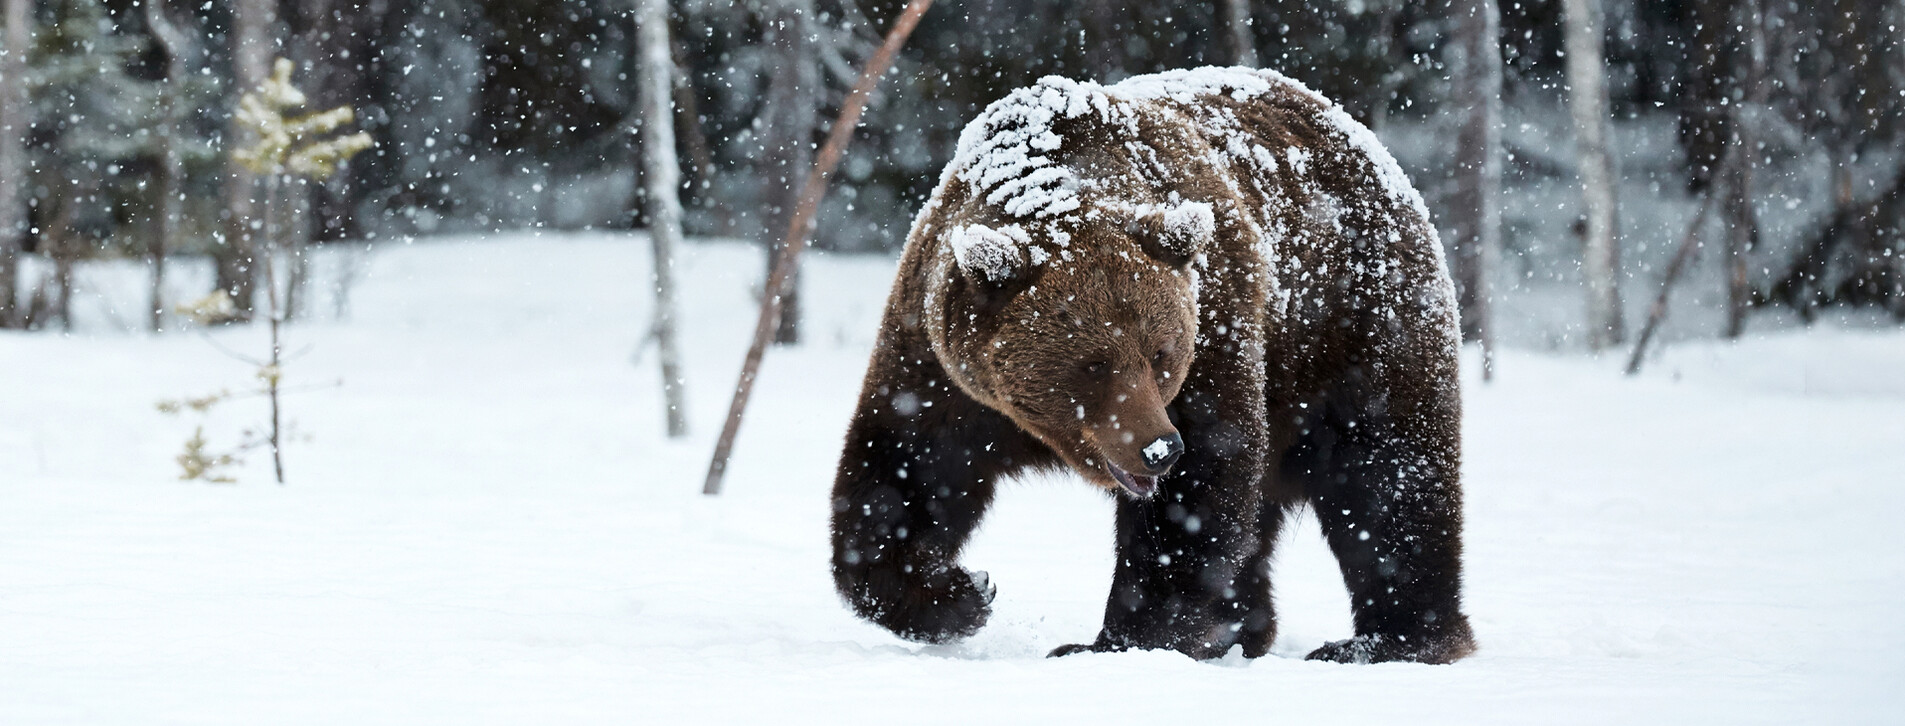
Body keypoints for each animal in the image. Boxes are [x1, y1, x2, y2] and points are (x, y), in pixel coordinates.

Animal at [830, 66, 1470, 663]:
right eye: (1093, 363)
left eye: (1160, 354)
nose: (1160, 448)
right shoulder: (941, 363)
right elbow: (905, 471)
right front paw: (962, 592)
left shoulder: (1217, 326)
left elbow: (1199, 490)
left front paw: (1114, 640)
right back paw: (1240, 630)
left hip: (1354, 327)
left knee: (1387, 477)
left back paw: (1389, 639)